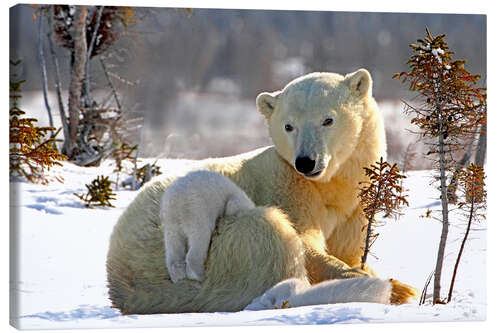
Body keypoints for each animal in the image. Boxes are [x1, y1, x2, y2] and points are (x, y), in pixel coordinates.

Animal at [106, 68, 418, 314]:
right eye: (288, 125)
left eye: (328, 120)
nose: (306, 161)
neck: (329, 188)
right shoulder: (286, 186)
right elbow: (305, 243)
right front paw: (396, 287)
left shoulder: (354, 209)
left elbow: (348, 247)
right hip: (202, 250)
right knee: (267, 236)